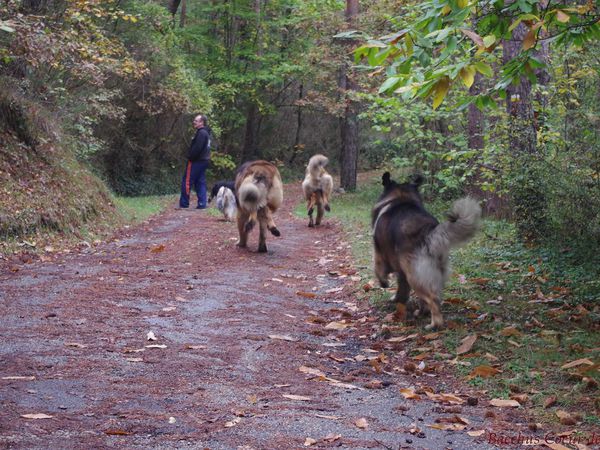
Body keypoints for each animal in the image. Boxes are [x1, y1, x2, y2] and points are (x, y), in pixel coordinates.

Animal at [372, 171, 480, 328]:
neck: (401, 197)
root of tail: (429, 231)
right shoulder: (401, 272)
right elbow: (402, 289)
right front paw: (398, 299)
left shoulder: (380, 253)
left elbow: (379, 270)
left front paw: (384, 284)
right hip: (433, 272)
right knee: (433, 297)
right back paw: (422, 313)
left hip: (415, 276)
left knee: (432, 299)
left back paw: (434, 324)